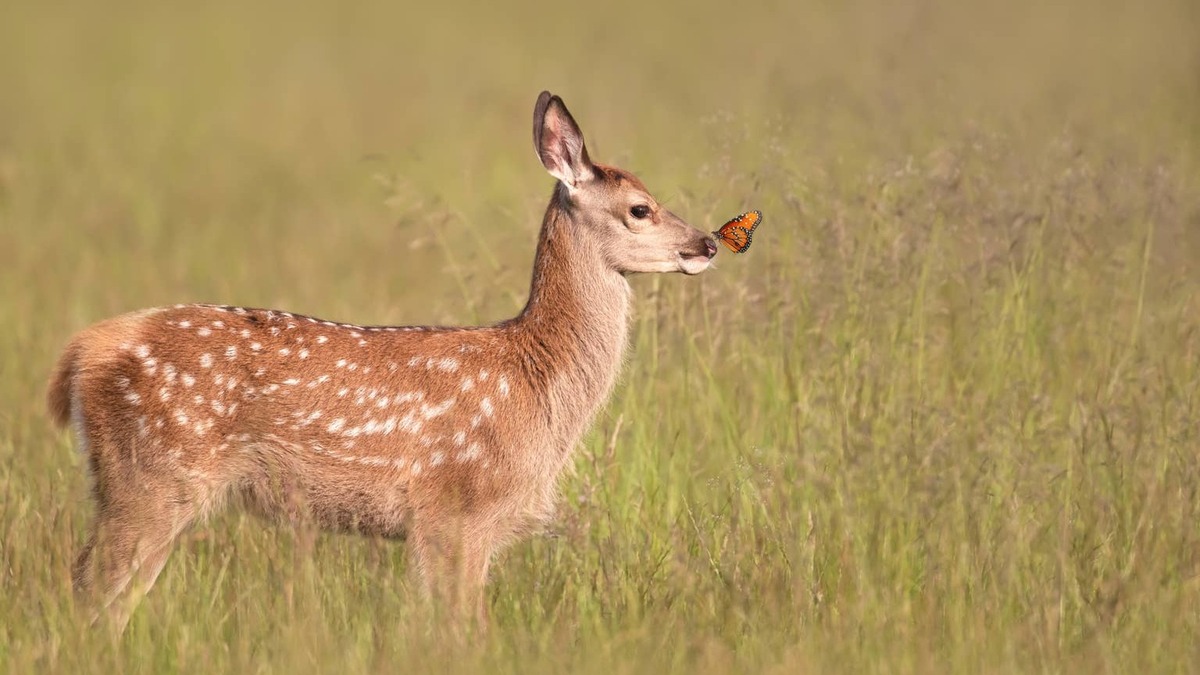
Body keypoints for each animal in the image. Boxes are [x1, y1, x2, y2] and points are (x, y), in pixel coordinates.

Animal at [46, 91, 719, 633]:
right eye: (640, 208)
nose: (709, 242)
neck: (536, 377)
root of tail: (84, 351)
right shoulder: (456, 507)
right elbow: (462, 629)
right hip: (152, 476)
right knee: (92, 592)